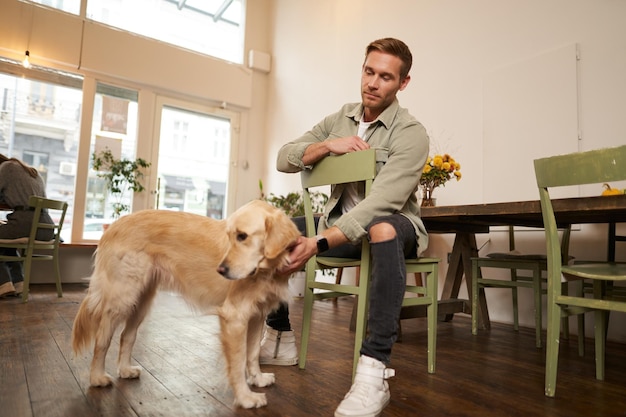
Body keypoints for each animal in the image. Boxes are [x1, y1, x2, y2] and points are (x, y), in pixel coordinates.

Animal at [70, 198, 300, 406]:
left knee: (126, 336)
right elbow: (238, 362)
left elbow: (252, 354)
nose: (220, 270)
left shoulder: (257, 315)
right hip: (121, 299)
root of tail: (113, 226)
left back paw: (125, 370)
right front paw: (245, 398)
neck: (266, 268)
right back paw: (97, 377)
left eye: (242, 236)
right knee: (102, 340)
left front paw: (258, 379)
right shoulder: (234, 317)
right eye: (230, 237)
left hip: (141, 301)